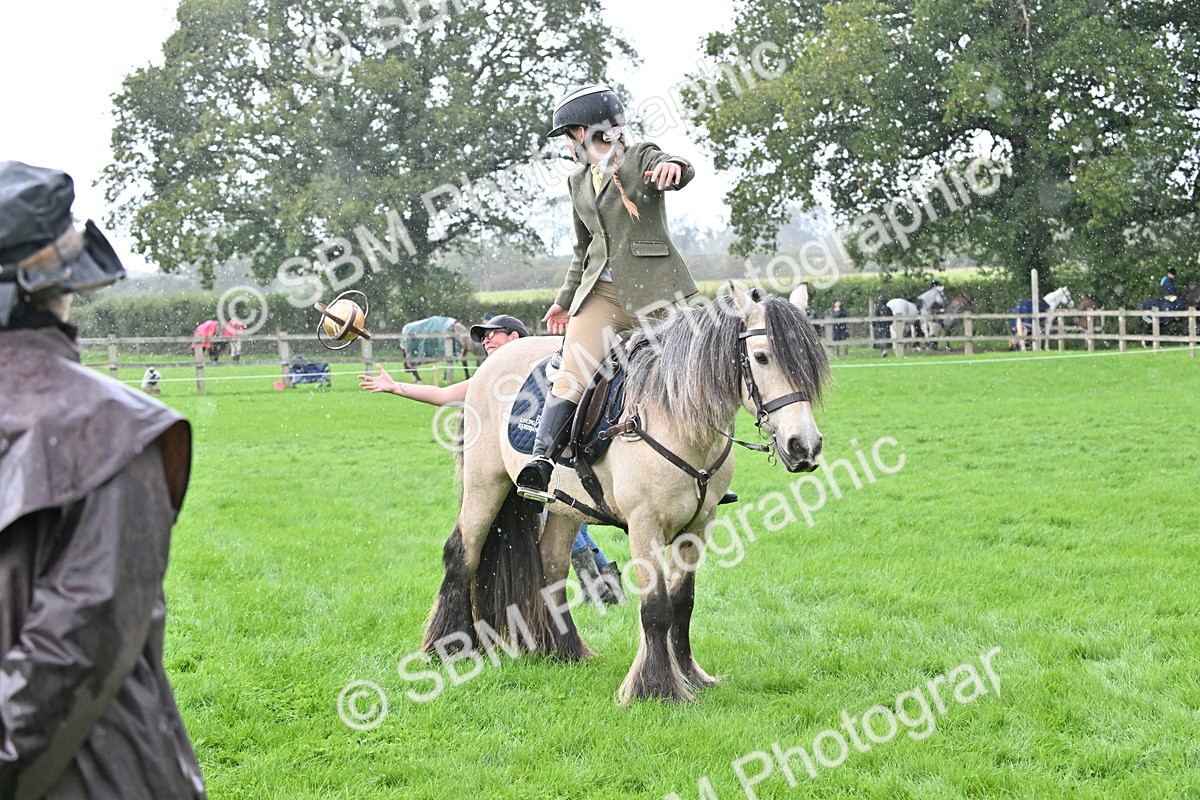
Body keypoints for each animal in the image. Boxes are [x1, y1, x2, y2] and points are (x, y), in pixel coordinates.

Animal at [422, 284, 830, 704]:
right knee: (462, 554)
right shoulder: (644, 524)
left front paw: (690, 675)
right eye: (762, 357)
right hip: (486, 485)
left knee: (551, 566)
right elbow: (657, 608)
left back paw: (565, 650)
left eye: (811, 361)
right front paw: (657, 688)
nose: (804, 446)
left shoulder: (699, 525)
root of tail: (491, 362)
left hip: (565, 508)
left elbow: (683, 603)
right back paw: (450, 647)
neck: (675, 420)